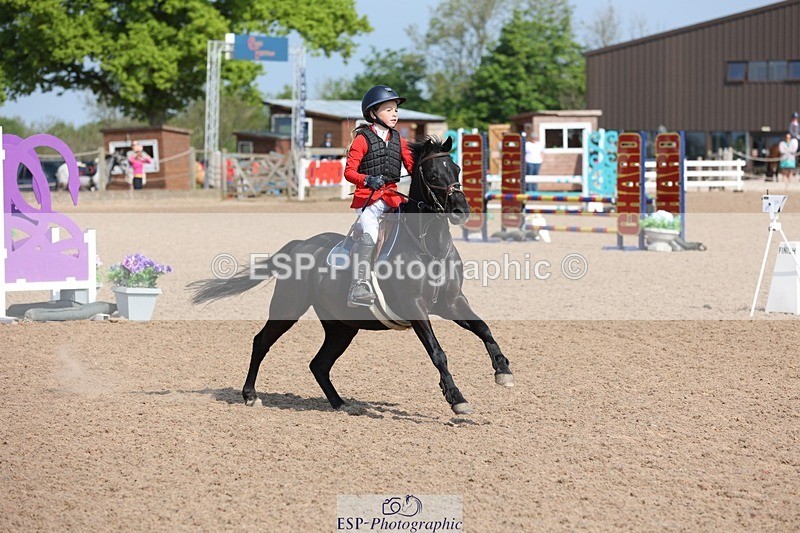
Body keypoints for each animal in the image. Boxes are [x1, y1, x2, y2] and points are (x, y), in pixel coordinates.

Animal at [189, 136, 513, 414]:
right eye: (432, 173)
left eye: (456, 169)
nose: (461, 210)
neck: (429, 245)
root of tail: (299, 245)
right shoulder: (416, 308)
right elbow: (438, 352)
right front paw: (457, 398)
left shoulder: (451, 302)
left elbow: (483, 328)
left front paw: (503, 370)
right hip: (288, 307)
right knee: (261, 342)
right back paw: (250, 395)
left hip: (342, 327)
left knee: (319, 364)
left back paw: (340, 403)